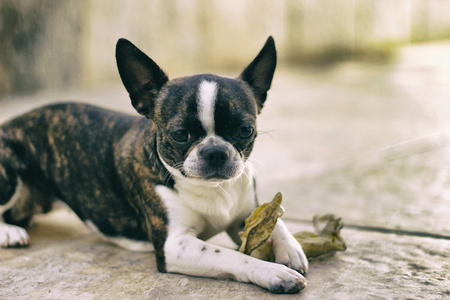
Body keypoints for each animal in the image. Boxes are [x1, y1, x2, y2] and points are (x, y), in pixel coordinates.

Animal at [0, 36, 308, 292]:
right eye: (180, 134)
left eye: (245, 130)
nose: (216, 151)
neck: (214, 190)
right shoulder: (174, 247)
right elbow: (231, 256)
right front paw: (272, 272)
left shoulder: (244, 216)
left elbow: (275, 221)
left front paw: (291, 249)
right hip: (9, 172)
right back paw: (10, 231)